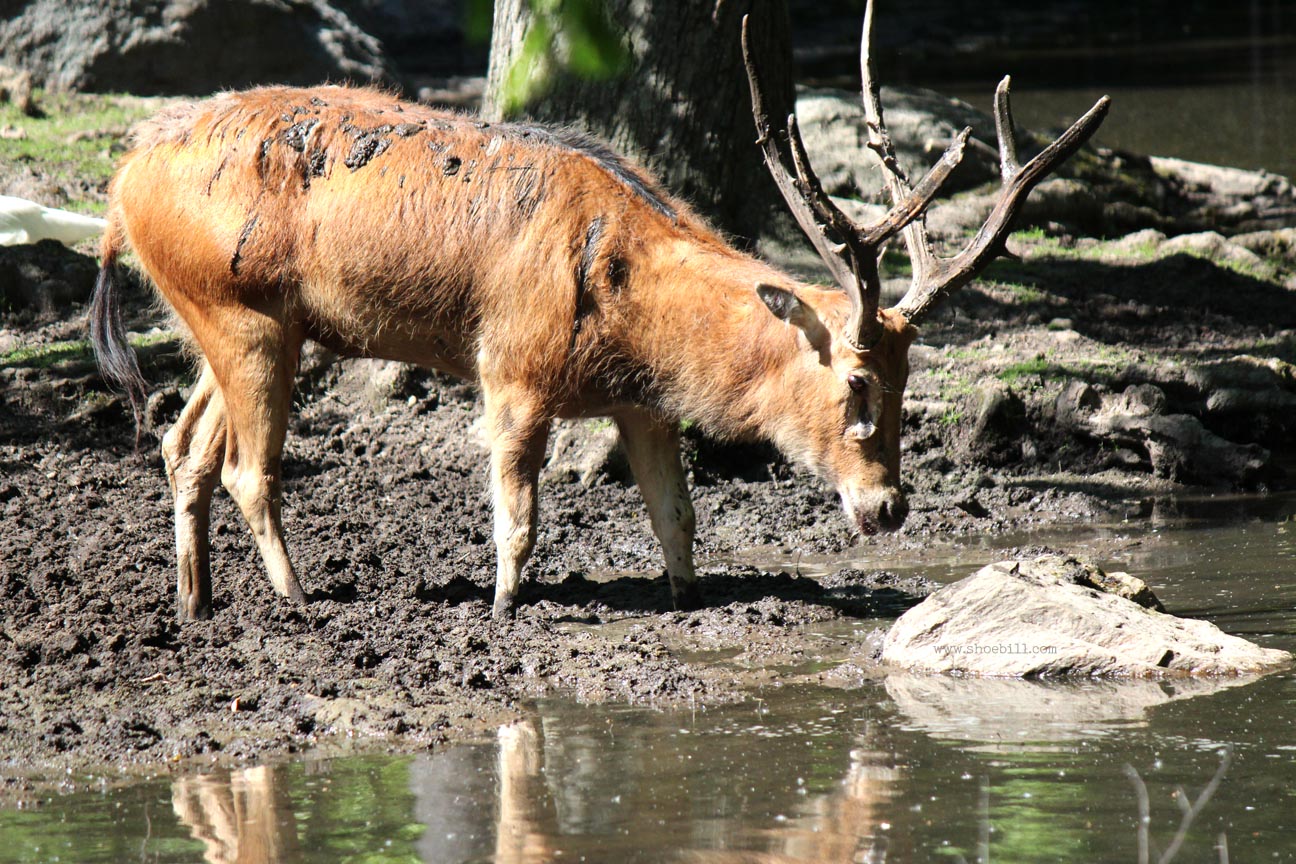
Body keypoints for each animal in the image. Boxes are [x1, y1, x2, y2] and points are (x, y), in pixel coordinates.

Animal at [91, 1, 1109, 621]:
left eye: (909, 375)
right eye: (857, 378)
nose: (890, 506)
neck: (631, 311)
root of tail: (119, 186)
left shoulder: (640, 404)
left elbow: (678, 514)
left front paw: (686, 594)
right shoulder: (510, 369)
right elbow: (521, 511)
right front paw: (505, 604)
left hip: (234, 320)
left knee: (183, 445)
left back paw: (195, 603)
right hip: (247, 317)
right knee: (246, 468)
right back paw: (298, 599)